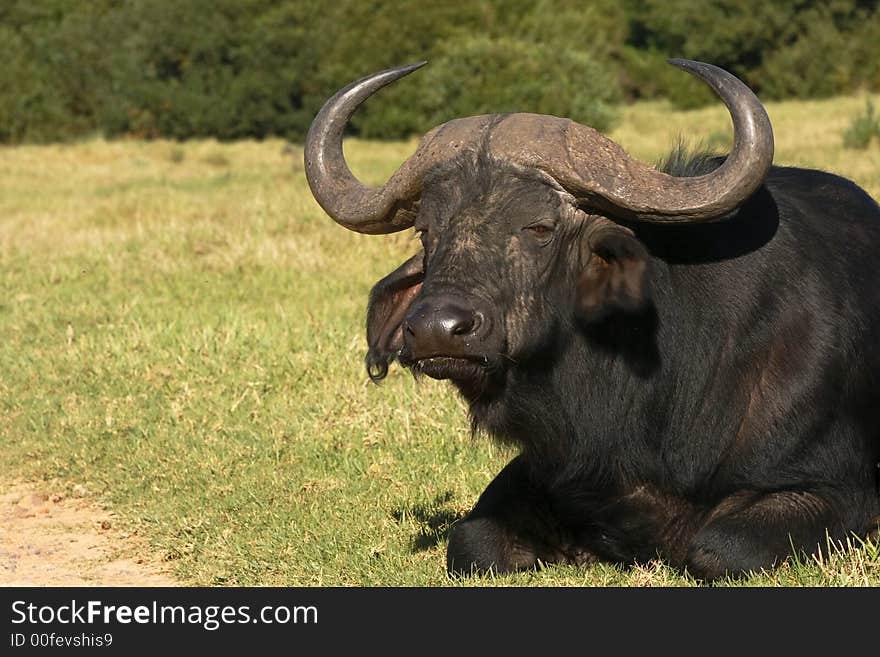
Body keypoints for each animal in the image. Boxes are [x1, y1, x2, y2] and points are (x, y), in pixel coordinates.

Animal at [304, 60, 880, 580]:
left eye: (539, 227)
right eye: (426, 230)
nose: (435, 330)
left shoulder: (833, 489)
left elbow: (721, 550)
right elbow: (473, 544)